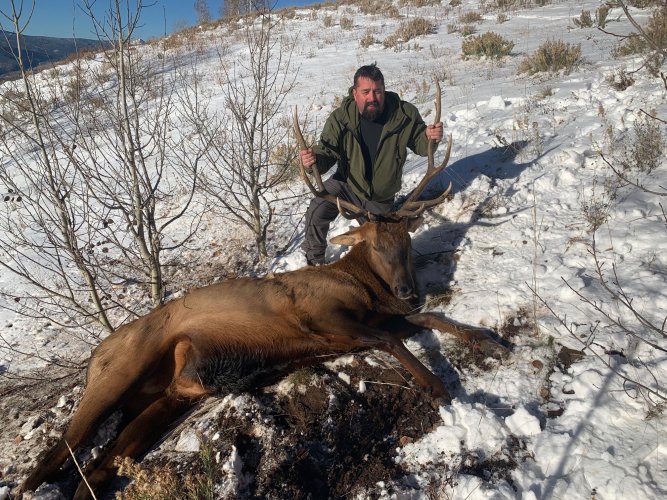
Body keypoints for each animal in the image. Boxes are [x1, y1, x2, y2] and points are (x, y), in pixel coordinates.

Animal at [17, 83, 506, 499]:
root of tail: (95, 354)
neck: (363, 288)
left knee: (97, 470)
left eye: (405, 242)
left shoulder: (377, 315)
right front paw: (436, 385)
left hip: (165, 396)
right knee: (56, 454)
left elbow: (428, 320)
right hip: (118, 372)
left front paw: (490, 338)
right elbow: (390, 337)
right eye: (375, 247)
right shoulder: (320, 316)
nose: (409, 291)